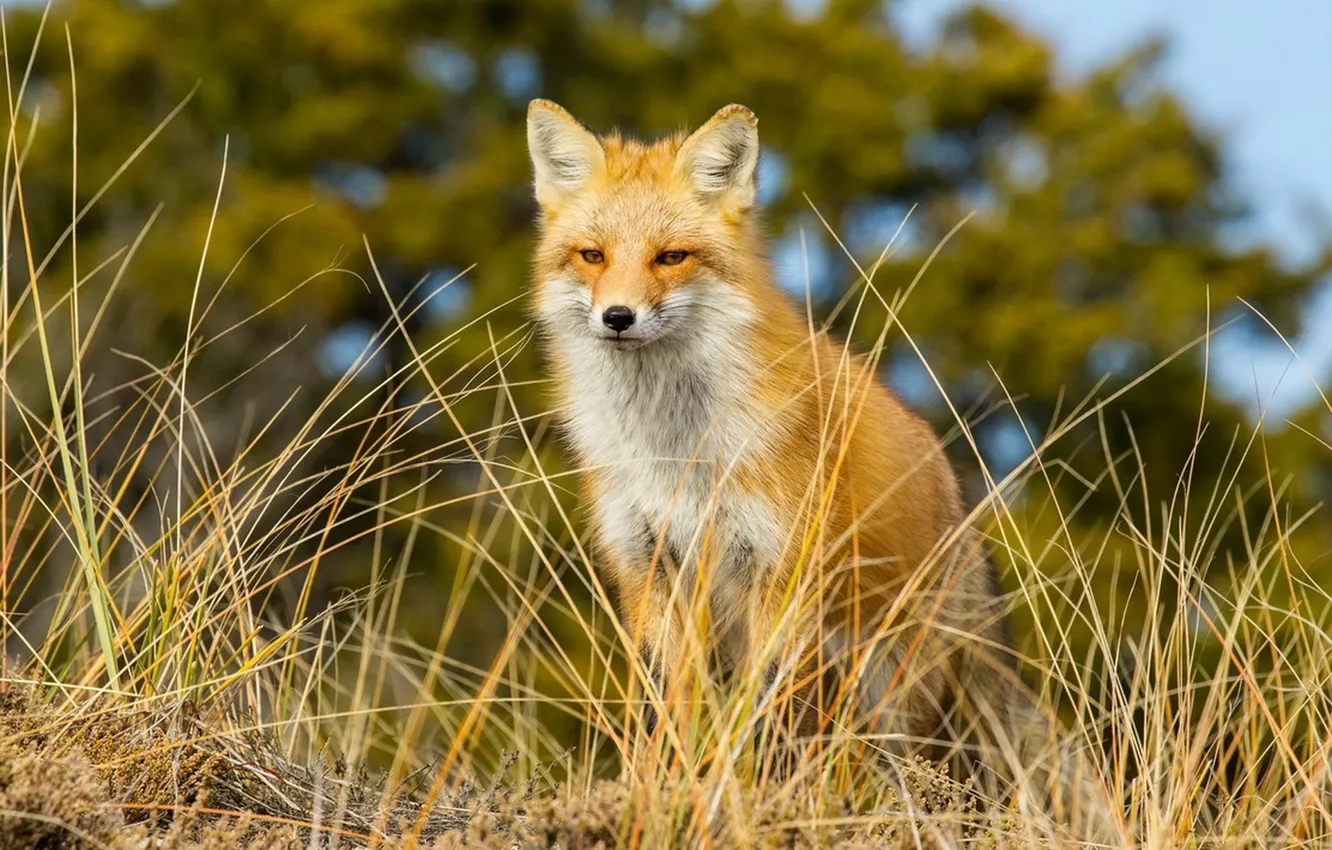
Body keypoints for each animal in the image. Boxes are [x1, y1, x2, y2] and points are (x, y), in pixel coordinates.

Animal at [524, 99, 1108, 842]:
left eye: (671, 257)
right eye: (592, 255)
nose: (617, 317)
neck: (676, 449)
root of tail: (955, 496)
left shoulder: (780, 573)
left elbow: (763, 722)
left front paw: (744, 807)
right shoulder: (649, 567)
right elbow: (664, 715)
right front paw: (655, 798)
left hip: (891, 690)